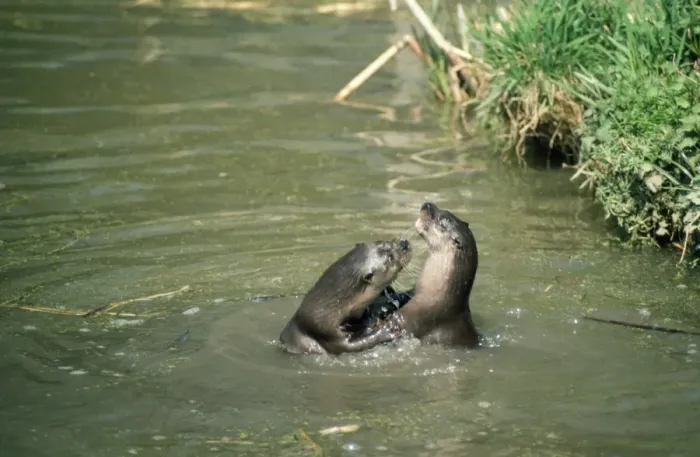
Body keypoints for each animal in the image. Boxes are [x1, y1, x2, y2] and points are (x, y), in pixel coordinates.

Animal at [279, 238, 411, 355]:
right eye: (390, 258)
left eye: (387, 241)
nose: (404, 243)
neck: (331, 307)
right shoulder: (325, 331)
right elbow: (352, 346)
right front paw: (388, 329)